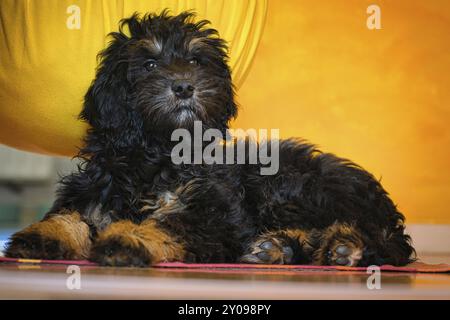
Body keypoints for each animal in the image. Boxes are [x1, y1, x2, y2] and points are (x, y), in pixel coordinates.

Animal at [6, 11, 414, 268]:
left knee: (371, 236)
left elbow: (166, 223)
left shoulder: (214, 214)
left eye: (196, 61)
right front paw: (40, 236)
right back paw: (280, 248)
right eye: (149, 64)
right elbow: (70, 216)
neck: (157, 156)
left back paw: (342, 248)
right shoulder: (94, 193)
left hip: (289, 186)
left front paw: (128, 238)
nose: (185, 87)